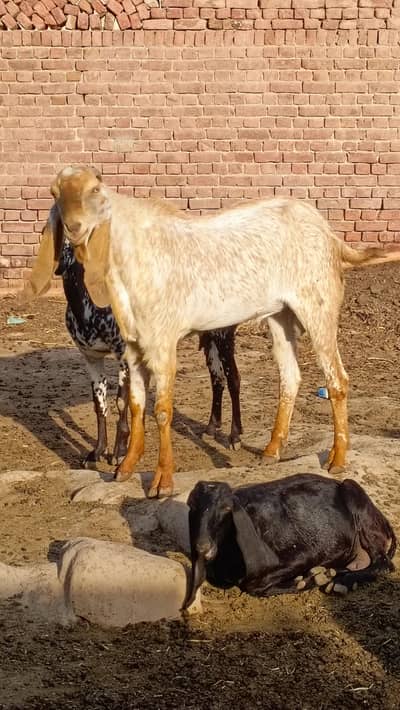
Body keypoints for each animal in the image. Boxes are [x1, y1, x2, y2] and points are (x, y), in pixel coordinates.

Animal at [27, 166, 400, 498]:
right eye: (55, 193)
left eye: (95, 190)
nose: (74, 227)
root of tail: (327, 231)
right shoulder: (132, 346)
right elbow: (134, 404)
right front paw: (125, 468)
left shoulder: (162, 341)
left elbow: (162, 409)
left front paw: (162, 482)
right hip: (280, 315)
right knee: (290, 377)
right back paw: (271, 450)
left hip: (318, 305)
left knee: (337, 379)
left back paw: (337, 459)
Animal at [183, 474, 396, 609]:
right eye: (191, 506)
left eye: (227, 509)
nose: (203, 546)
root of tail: (383, 519)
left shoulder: (306, 555)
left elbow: (254, 585)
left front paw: (308, 580)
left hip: (355, 497)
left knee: (383, 563)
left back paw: (341, 581)